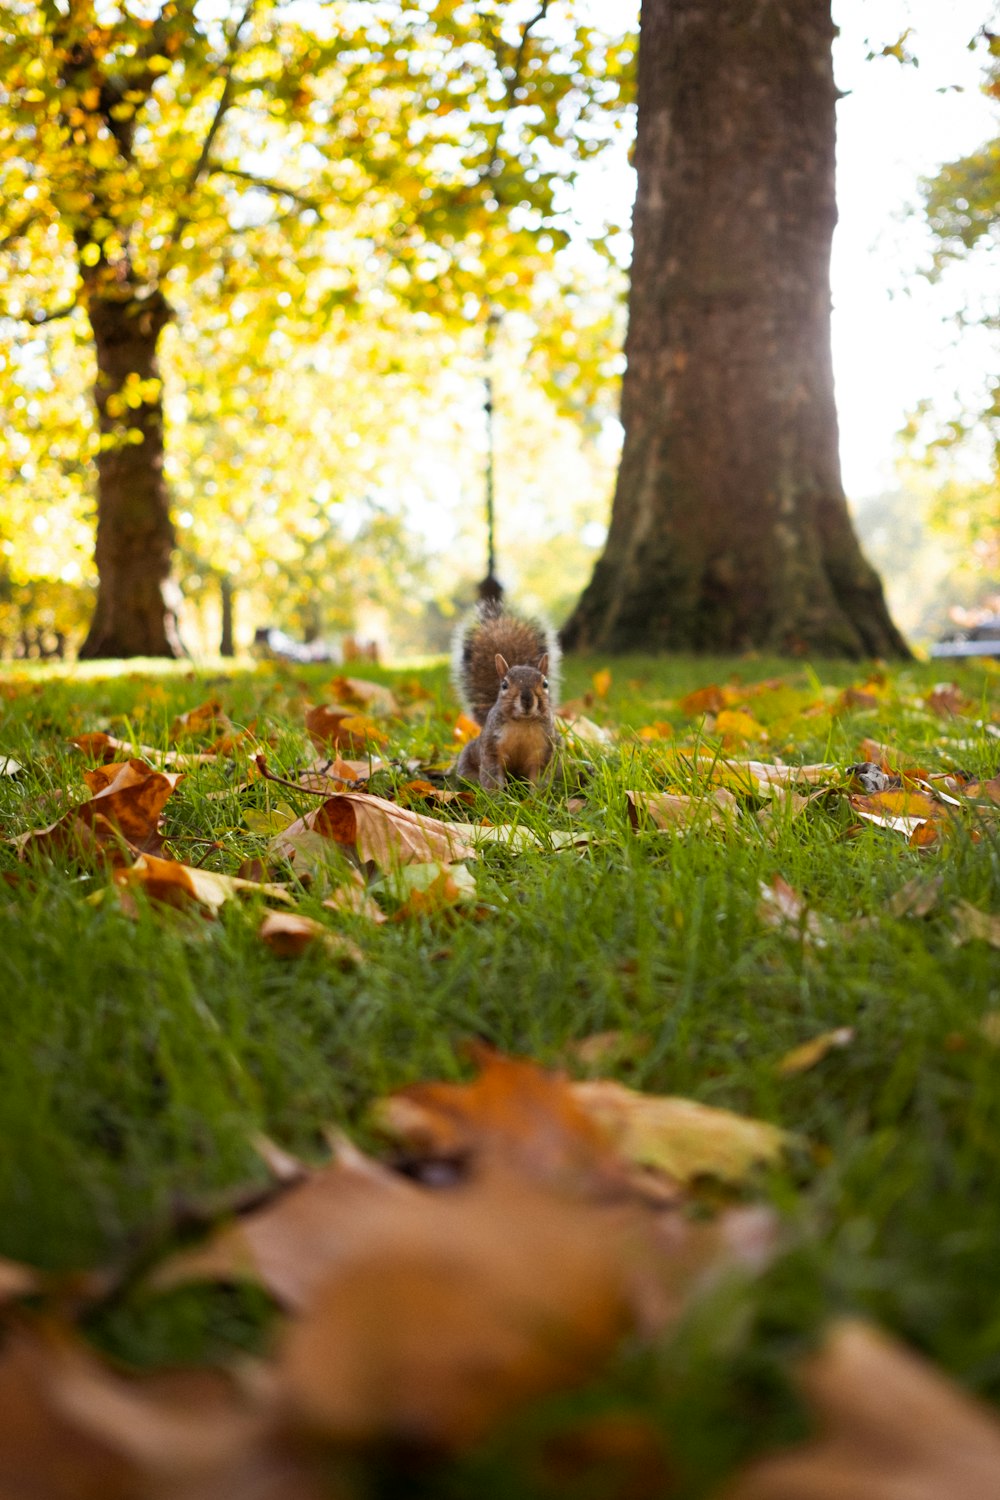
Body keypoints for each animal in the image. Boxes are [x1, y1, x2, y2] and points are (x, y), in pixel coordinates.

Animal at [455, 597, 563, 792]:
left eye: (545, 684)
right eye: (504, 685)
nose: (527, 700)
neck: (522, 723)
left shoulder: (544, 750)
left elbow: (539, 778)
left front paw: (536, 798)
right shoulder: (491, 748)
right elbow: (492, 775)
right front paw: (496, 797)